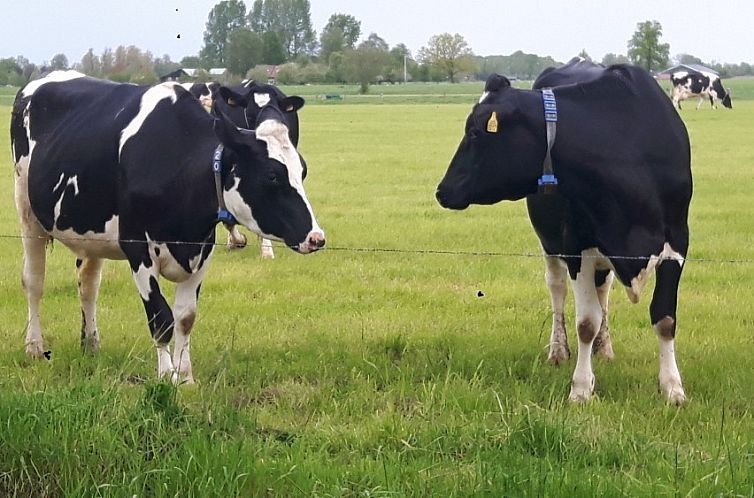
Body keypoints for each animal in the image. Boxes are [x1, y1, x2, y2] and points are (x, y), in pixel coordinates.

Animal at [10, 70, 324, 382]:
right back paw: (34, 346)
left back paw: (91, 344)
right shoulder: (138, 248)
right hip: (28, 214)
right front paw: (165, 375)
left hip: (91, 233)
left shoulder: (202, 248)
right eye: (272, 175)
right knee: (34, 281)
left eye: (303, 170)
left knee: (88, 285)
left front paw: (185, 377)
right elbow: (160, 318)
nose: (316, 237)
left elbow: (185, 317)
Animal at [432, 61, 692, 404]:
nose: (442, 190)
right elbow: (586, 322)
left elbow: (665, 319)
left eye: (475, 132)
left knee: (603, 291)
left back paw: (604, 349)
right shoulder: (576, 246)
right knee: (557, 289)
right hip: (550, 242)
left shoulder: (677, 244)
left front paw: (673, 388)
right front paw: (581, 389)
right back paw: (558, 350)